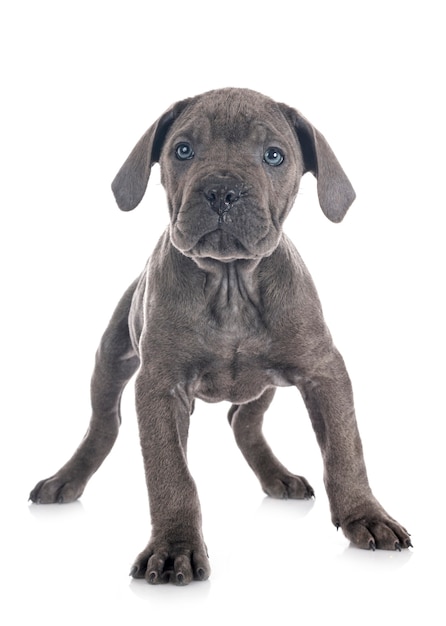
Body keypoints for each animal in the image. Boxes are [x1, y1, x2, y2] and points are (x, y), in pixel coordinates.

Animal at [28, 86, 412, 580]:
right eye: (182, 150)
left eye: (274, 156)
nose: (222, 191)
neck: (231, 285)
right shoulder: (160, 386)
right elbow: (171, 473)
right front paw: (174, 547)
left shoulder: (323, 371)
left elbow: (347, 449)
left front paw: (365, 516)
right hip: (111, 357)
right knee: (105, 424)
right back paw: (66, 479)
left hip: (264, 382)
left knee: (241, 420)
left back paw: (276, 475)